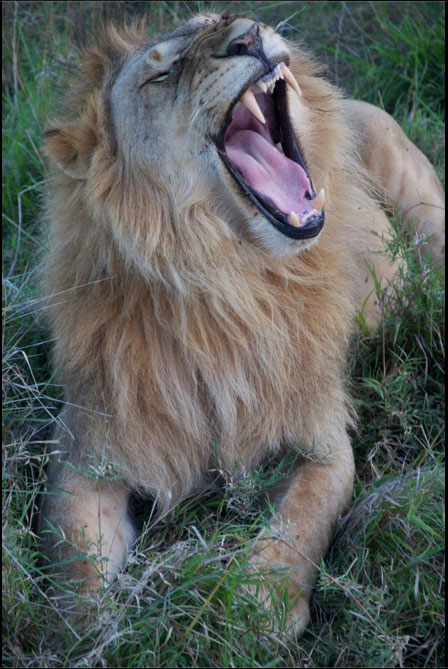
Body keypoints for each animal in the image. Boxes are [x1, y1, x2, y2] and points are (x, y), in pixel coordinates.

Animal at [39, 13, 444, 635]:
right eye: (160, 76)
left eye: (216, 20)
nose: (248, 35)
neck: (226, 279)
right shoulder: (85, 454)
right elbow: (74, 571)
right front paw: (99, 635)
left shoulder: (320, 440)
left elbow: (300, 521)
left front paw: (259, 609)